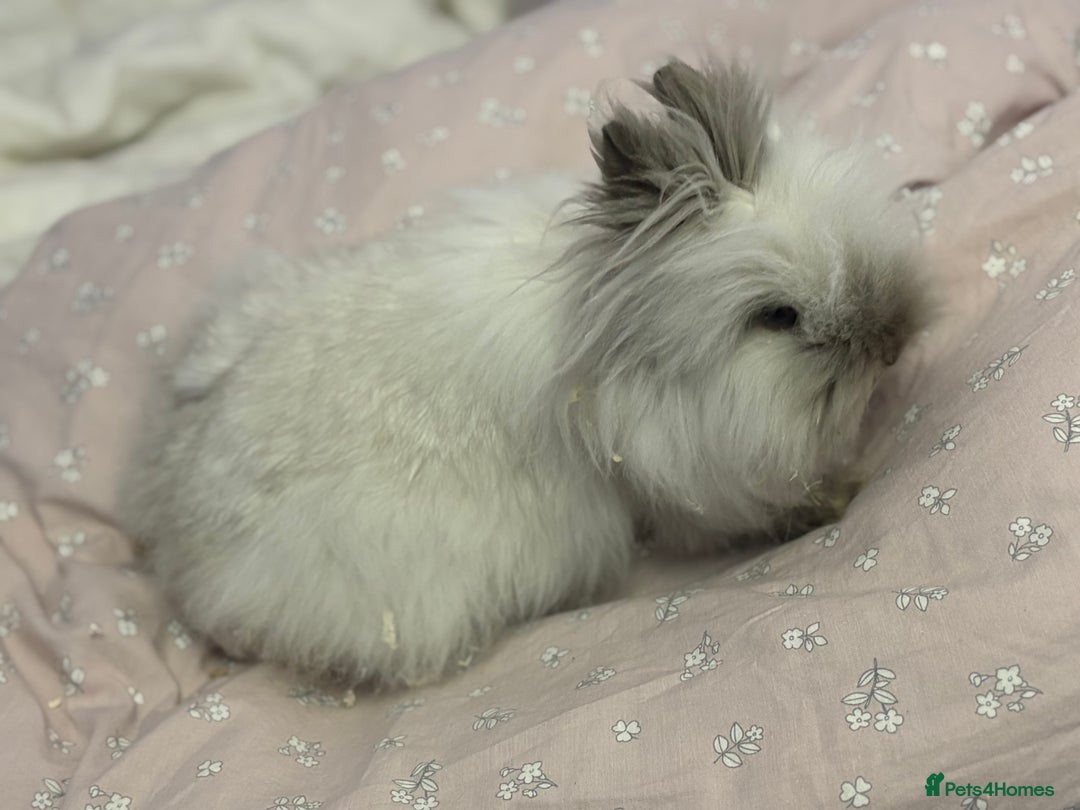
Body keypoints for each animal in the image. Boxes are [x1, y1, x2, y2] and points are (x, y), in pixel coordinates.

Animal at [118, 58, 928, 687]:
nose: (894, 343)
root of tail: (179, 541)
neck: (612, 327)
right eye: (778, 317)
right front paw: (839, 496)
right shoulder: (689, 482)